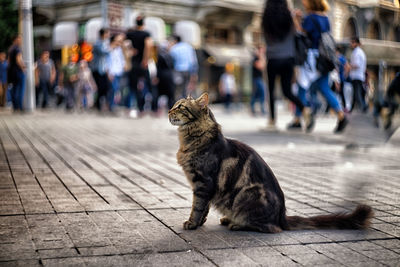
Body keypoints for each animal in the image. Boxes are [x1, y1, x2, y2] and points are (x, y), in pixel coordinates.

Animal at [167, 93, 374, 232]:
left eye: (180, 107)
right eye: (174, 105)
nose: (169, 111)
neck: (191, 138)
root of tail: (282, 216)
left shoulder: (203, 182)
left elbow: (198, 207)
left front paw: (192, 223)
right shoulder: (205, 186)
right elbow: (205, 208)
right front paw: (200, 223)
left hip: (247, 195)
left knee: (268, 228)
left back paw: (236, 224)